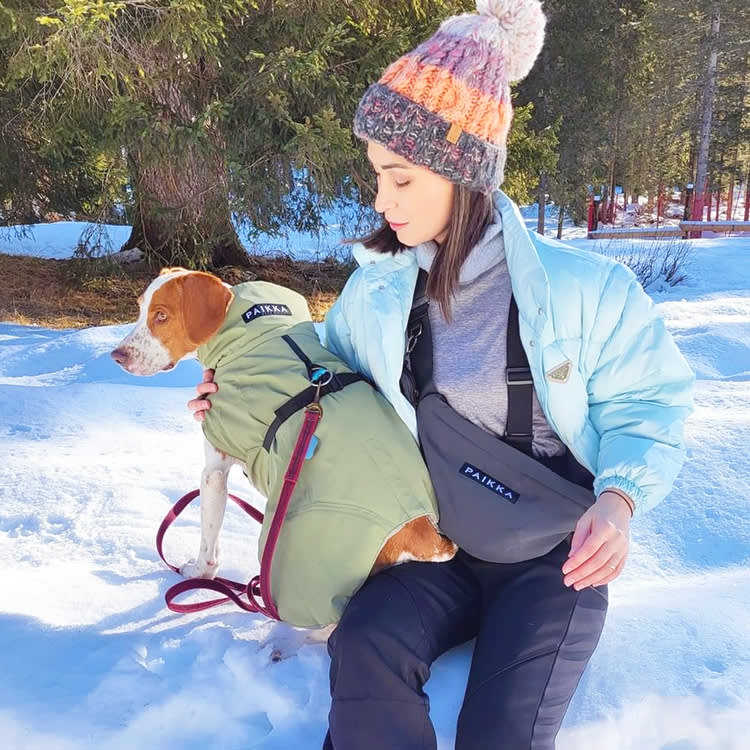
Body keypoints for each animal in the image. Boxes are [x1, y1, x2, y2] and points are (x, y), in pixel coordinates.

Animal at [108, 268, 456, 628]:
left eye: (162, 316)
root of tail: (427, 540)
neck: (246, 334)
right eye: (140, 309)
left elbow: (209, 542)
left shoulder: (214, 471)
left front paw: (199, 574)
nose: (116, 356)